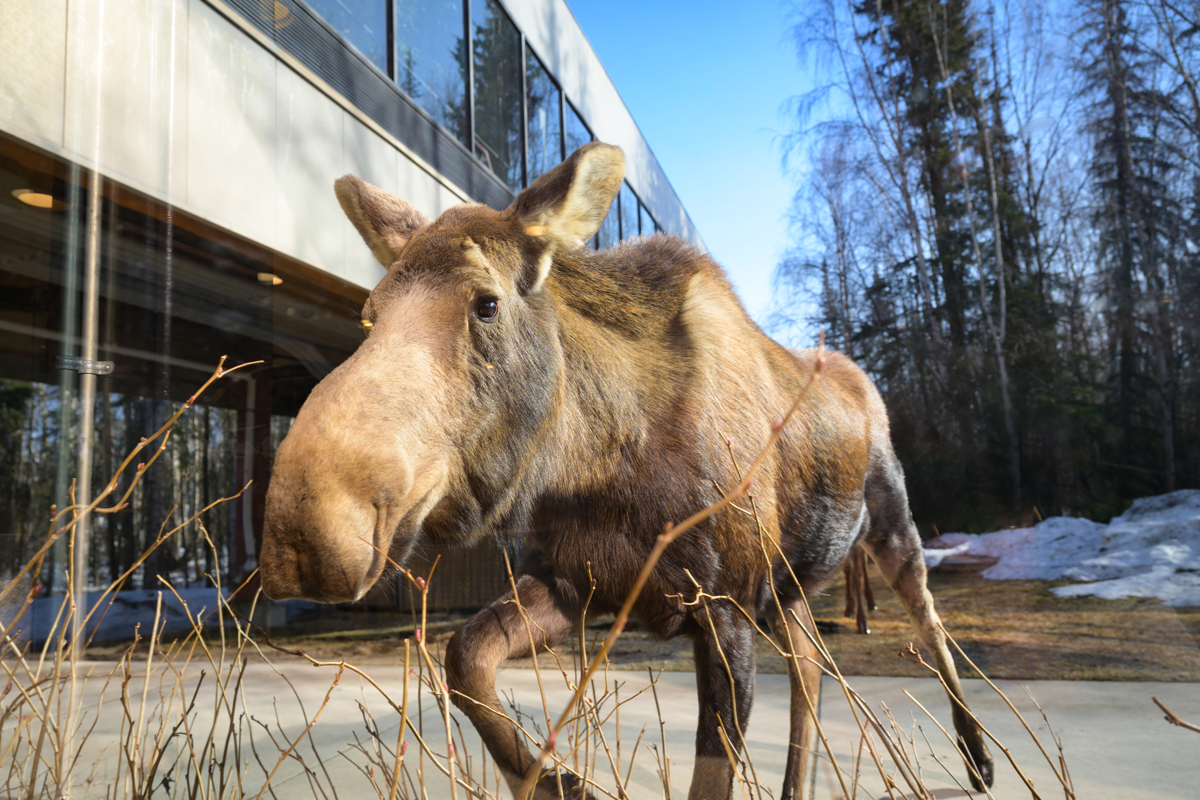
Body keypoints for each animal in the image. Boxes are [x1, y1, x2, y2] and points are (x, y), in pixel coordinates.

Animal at [259, 143, 994, 799]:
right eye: (369, 315)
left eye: (486, 303)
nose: (303, 535)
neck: (595, 467)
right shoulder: (580, 581)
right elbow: (463, 655)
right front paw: (556, 779)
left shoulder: (723, 608)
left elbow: (711, 772)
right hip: (785, 588)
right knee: (811, 663)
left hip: (889, 525)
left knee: (929, 622)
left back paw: (979, 758)